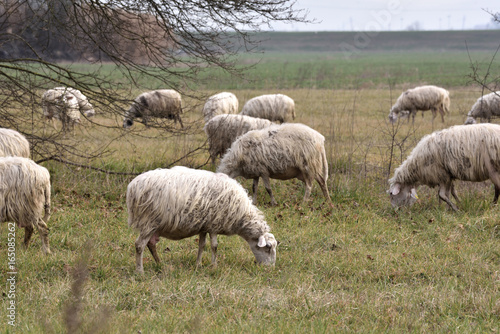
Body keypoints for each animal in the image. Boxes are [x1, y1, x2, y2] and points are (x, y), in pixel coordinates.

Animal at [126, 166, 278, 272]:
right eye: (268, 248)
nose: (270, 269)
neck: (240, 215)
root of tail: (132, 187)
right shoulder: (214, 225)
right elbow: (214, 246)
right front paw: (214, 265)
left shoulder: (204, 226)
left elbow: (202, 245)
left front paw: (198, 264)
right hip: (148, 221)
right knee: (139, 245)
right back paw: (140, 271)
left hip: (153, 225)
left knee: (151, 244)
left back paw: (160, 264)